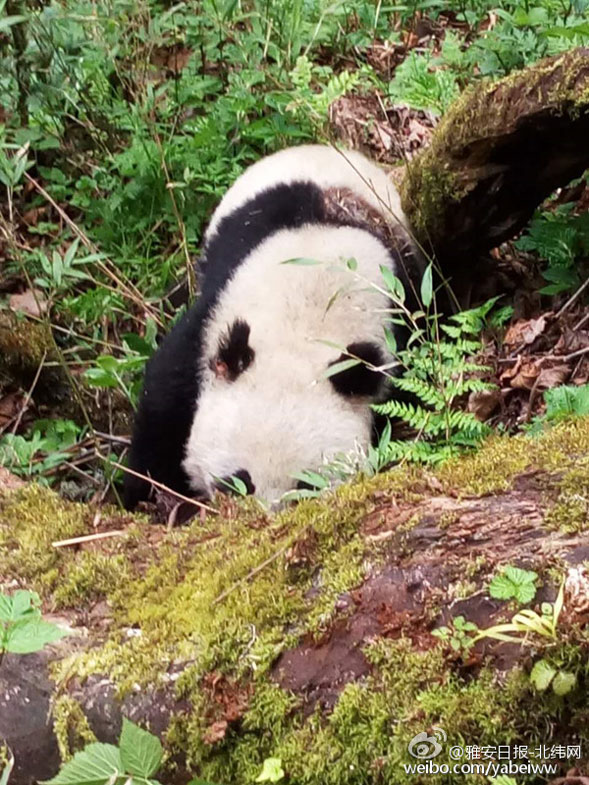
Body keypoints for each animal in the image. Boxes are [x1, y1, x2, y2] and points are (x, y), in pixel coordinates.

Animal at [123, 145, 418, 512]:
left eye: (306, 486)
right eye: (237, 481)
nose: (261, 517)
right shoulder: (211, 320)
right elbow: (164, 399)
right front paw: (144, 493)